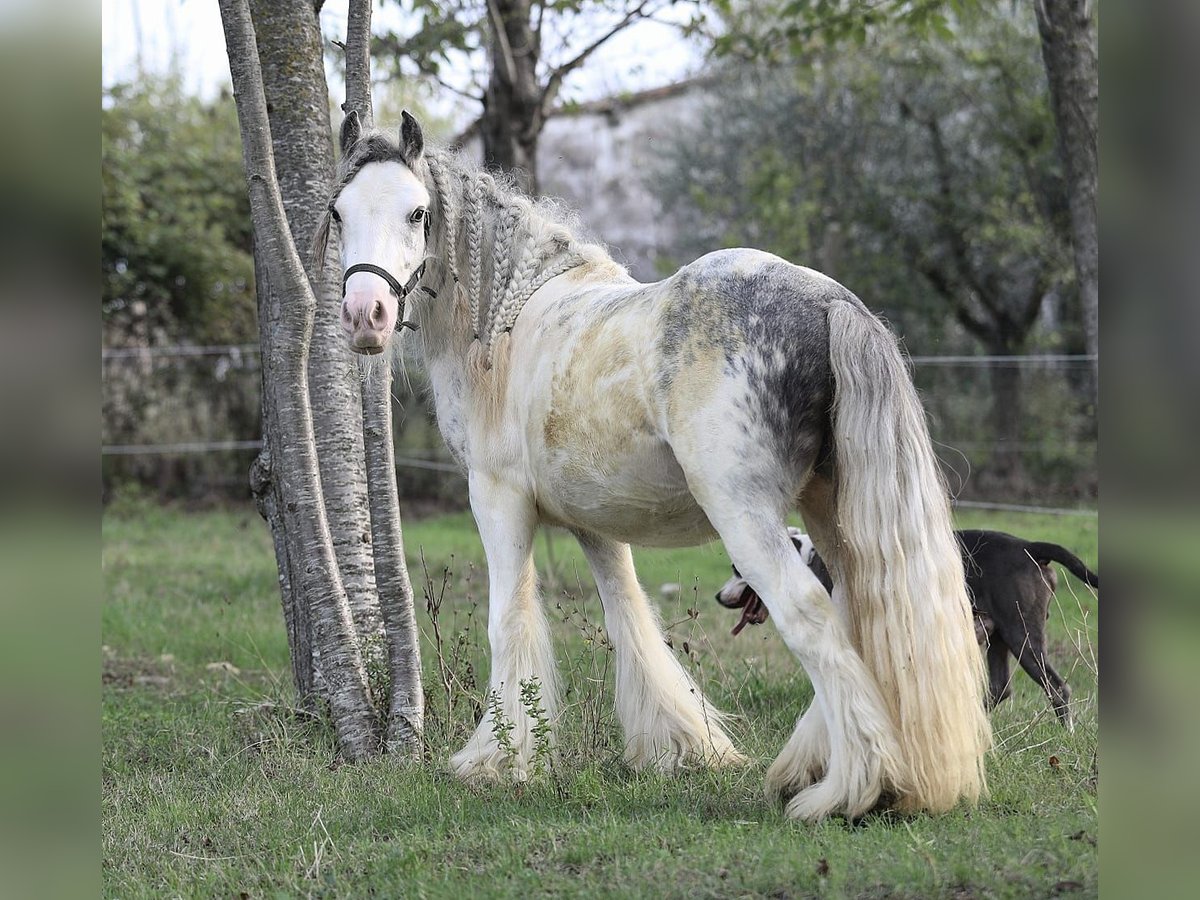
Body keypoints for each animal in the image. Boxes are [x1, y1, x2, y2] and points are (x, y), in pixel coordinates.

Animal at [314, 112, 988, 825]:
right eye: (337, 211)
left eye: (417, 213)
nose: (365, 316)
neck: (508, 321)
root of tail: (829, 303)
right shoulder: (595, 522)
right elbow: (630, 617)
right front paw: (679, 745)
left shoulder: (498, 500)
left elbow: (508, 619)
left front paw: (498, 761)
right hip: (829, 509)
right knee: (857, 613)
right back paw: (818, 768)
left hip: (745, 516)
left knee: (811, 614)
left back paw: (848, 789)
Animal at [715, 525, 1099, 729]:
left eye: (737, 569)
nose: (718, 596)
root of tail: (1028, 547)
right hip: (1000, 638)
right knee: (1000, 688)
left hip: (1022, 636)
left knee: (1057, 688)